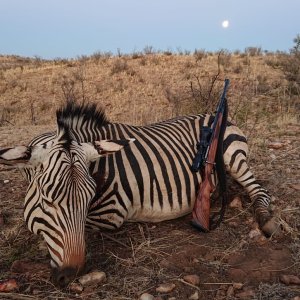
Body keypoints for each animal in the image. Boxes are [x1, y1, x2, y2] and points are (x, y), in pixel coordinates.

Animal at [0, 102, 278, 288]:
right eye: (48, 200)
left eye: (89, 198)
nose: (70, 274)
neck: (101, 166)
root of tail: (213, 113)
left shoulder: (112, 212)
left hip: (234, 156)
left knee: (259, 190)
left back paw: (267, 221)